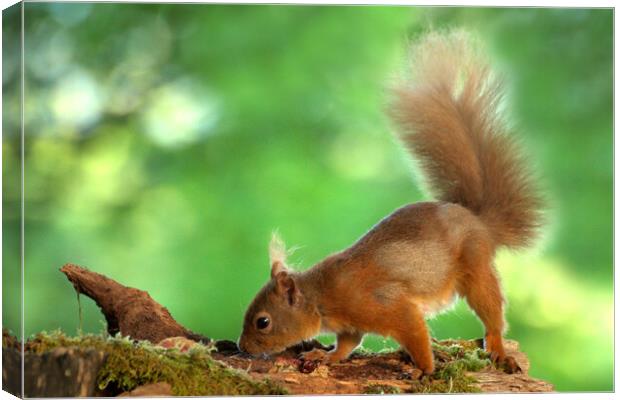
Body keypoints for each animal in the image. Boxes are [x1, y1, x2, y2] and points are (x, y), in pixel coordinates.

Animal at [237, 30, 544, 376]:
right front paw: (326, 356)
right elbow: (348, 343)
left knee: (492, 312)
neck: (321, 295)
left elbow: (414, 333)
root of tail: (476, 220)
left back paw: (498, 349)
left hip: (476, 267)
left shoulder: (389, 306)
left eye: (263, 322)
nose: (241, 347)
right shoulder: (351, 324)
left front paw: (423, 369)